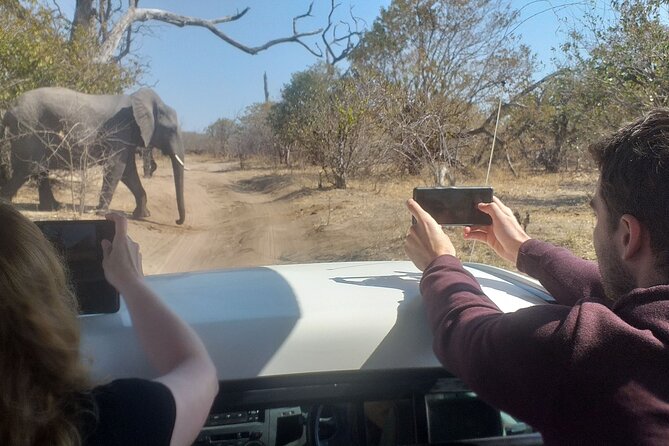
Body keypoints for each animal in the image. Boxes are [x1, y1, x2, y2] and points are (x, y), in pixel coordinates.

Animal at [0, 87, 186, 224]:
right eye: (171, 130)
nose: (177, 221)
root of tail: (8, 110)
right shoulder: (120, 129)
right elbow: (117, 168)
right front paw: (101, 212)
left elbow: (128, 172)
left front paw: (142, 215)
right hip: (27, 129)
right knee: (28, 169)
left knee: (38, 169)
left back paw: (53, 208)